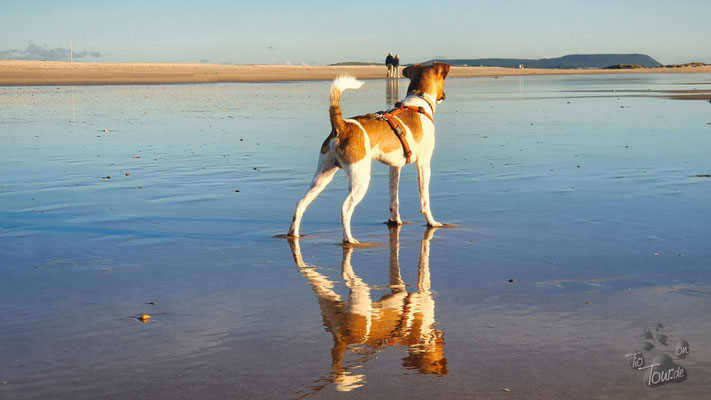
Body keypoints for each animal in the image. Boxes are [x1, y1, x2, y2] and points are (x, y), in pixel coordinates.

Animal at [288, 62, 450, 244]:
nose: (444, 96)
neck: (417, 102)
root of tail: (341, 125)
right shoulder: (423, 164)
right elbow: (424, 199)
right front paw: (432, 222)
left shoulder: (395, 167)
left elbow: (394, 198)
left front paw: (395, 221)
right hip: (360, 178)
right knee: (345, 208)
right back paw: (349, 239)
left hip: (323, 175)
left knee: (301, 203)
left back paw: (294, 234)